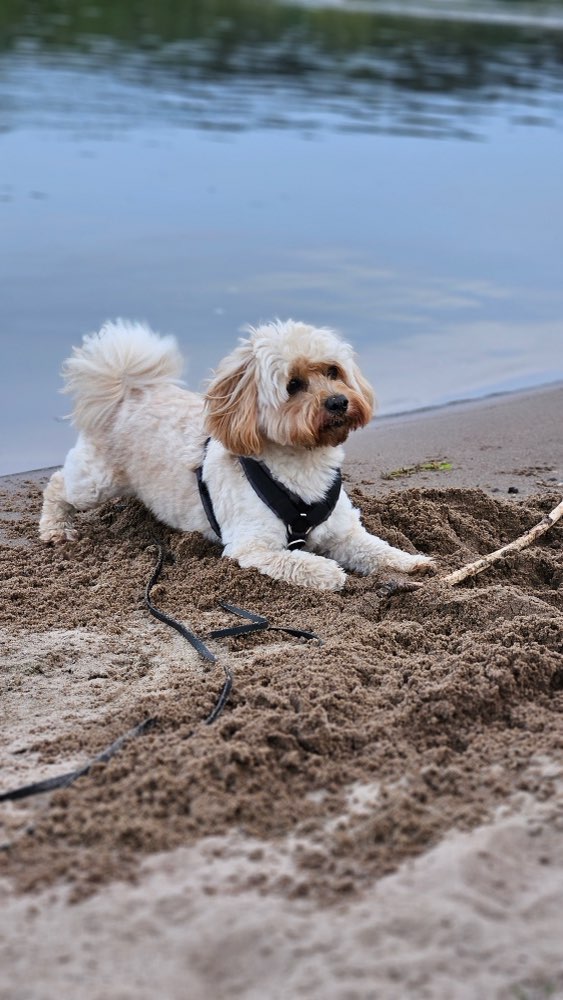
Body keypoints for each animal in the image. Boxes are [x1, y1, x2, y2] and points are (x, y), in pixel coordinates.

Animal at [39, 316, 434, 588]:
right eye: (293, 385)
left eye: (333, 371)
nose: (338, 402)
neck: (304, 464)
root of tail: (129, 390)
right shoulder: (253, 547)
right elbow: (297, 561)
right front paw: (327, 571)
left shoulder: (344, 531)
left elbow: (375, 547)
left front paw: (409, 561)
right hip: (96, 482)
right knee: (58, 484)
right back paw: (56, 528)